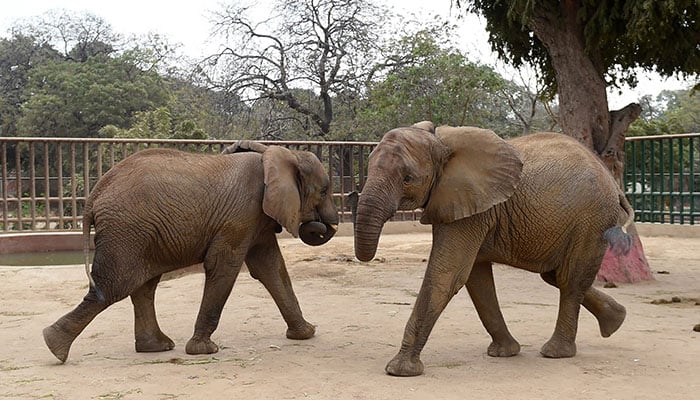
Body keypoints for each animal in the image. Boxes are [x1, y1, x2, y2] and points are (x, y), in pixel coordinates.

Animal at [43, 142, 340, 364]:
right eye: (324, 190)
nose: (317, 224)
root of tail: (93, 196)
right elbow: (224, 266)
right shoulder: (242, 215)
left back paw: (156, 347)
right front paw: (204, 351)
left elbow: (271, 268)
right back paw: (54, 346)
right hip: (126, 232)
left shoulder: (257, 219)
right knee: (113, 287)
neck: (280, 154)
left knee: (143, 287)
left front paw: (306, 334)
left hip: (140, 234)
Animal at [352, 121, 632, 376]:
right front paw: (505, 353)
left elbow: (447, 275)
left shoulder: (469, 206)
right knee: (555, 276)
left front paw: (399, 370)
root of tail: (614, 185)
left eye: (408, 179)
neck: (440, 141)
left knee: (569, 280)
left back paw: (556, 352)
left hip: (592, 220)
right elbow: (476, 280)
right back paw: (615, 321)